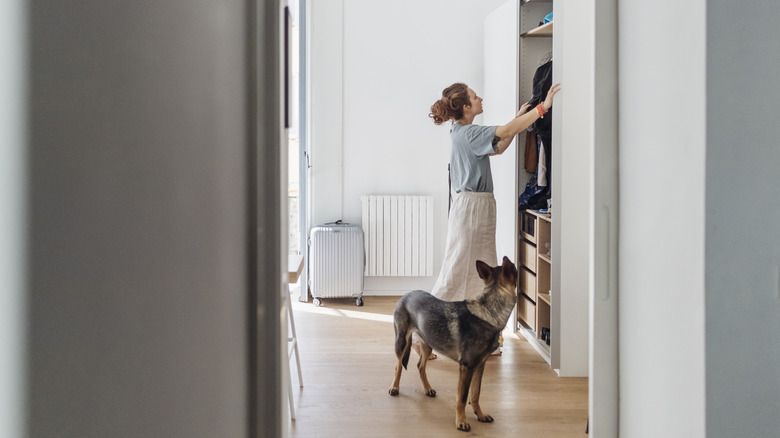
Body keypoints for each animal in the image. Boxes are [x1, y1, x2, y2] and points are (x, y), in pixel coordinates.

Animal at [388, 256, 516, 432]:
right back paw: (395, 388)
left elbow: (475, 394)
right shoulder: (466, 368)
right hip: (401, 342)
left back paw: (428, 389)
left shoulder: (479, 366)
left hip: (429, 344)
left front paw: (480, 415)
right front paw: (461, 422)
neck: (489, 311)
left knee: (420, 366)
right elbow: (462, 398)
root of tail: (407, 294)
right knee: (398, 366)